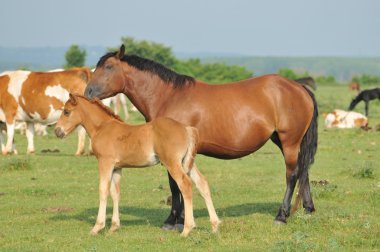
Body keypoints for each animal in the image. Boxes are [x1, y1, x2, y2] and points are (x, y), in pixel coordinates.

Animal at [53, 94, 220, 236]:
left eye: (66, 112)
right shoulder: (117, 167)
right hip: (187, 162)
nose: (57, 131)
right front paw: (114, 227)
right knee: (202, 183)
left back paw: (187, 229)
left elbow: (103, 190)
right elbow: (115, 193)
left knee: (185, 184)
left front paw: (97, 227)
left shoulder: (105, 162)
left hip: (172, 163)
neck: (102, 128)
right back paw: (215, 226)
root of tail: (186, 128)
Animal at [84, 44, 320, 228]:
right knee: (304, 171)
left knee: (292, 174)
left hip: (289, 141)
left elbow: (175, 183)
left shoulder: (172, 153)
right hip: (283, 140)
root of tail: (298, 87)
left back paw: (281, 216)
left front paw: (173, 221)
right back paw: (308, 210)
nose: (87, 92)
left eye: (109, 67)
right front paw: (179, 219)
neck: (169, 97)